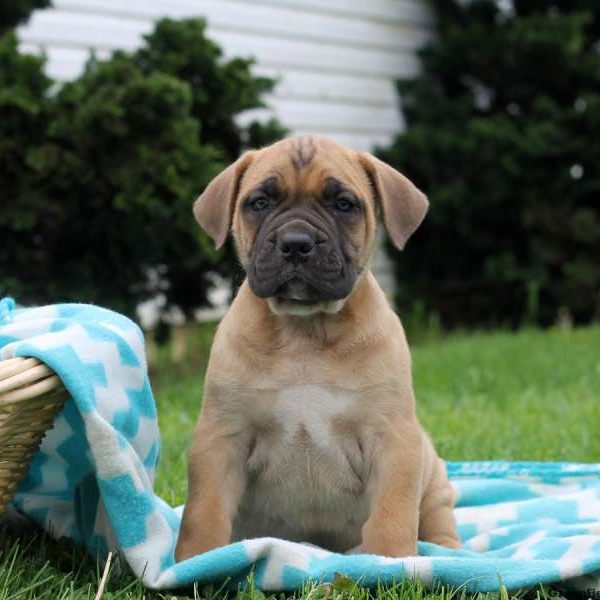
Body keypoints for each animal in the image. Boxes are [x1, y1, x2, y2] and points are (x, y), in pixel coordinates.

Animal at [173, 137, 460, 564]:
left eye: (343, 204)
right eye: (259, 203)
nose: (296, 243)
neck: (305, 331)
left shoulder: (392, 439)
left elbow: (391, 516)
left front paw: (390, 564)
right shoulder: (221, 438)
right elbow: (203, 512)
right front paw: (196, 563)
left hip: (435, 479)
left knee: (438, 520)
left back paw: (447, 553)